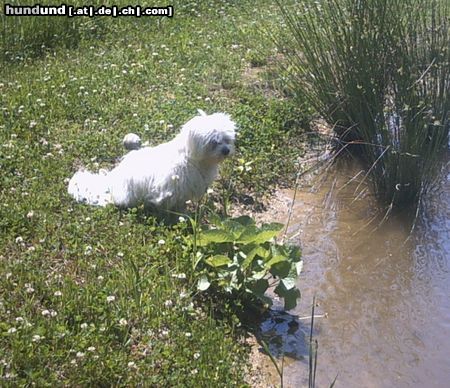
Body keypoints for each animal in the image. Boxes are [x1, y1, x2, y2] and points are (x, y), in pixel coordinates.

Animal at [67, 110, 236, 211]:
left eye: (227, 140)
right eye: (213, 142)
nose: (226, 150)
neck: (192, 158)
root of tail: (111, 180)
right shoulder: (170, 186)